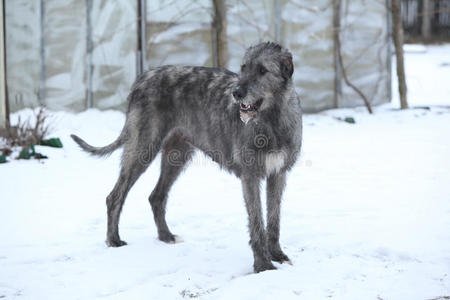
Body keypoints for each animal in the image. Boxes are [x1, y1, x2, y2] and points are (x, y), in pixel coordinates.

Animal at [71, 41, 302, 274]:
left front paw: (278, 256)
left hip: (177, 155)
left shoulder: (278, 174)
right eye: (243, 67)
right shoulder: (250, 176)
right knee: (115, 196)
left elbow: (274, 219)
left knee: (156, 196)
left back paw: (166, 236)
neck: (271, 120)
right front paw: (263, 265)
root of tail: (143, 77)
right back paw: (114, 240)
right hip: (143, 148)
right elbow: (256, 222)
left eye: (263, 70)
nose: (237, 93)